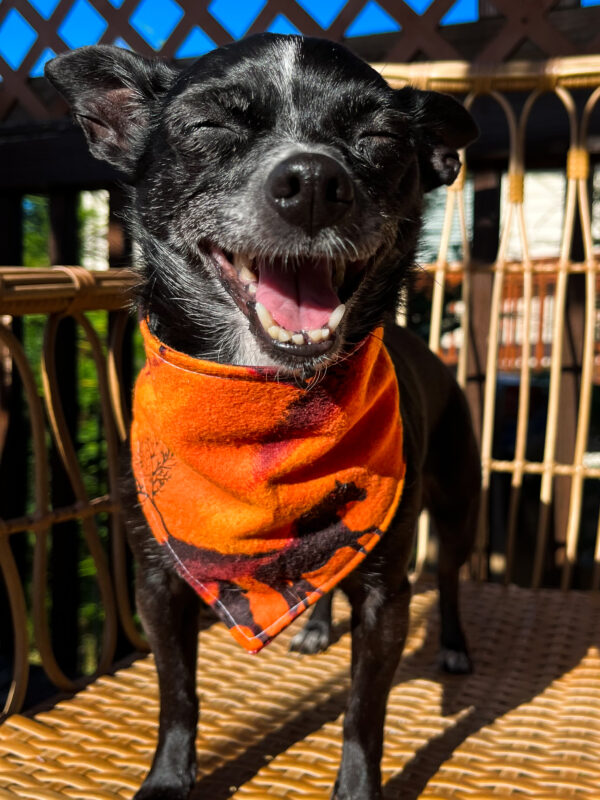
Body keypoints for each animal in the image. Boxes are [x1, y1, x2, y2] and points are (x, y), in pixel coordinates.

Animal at [45, 36, 478, 800]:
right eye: (211, 126)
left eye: (379, 140)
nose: (312, 181)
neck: (267, 400)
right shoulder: (159, 583)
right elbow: (177, 693)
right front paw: (168, 778)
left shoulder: (387, 596)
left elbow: (364, 711)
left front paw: (357, 789)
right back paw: (313, 626)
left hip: (456, 507)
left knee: (451, 578)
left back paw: (452, 644)